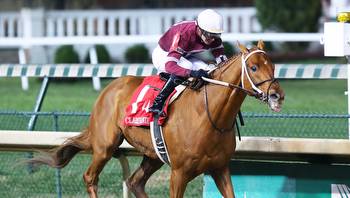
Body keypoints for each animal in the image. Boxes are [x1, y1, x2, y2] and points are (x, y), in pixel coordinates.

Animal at [28, 40, 284, 198]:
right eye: (253, 67)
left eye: (272, 65)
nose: (277, 95)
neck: (210, 117)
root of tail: (109, 88)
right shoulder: (179, 173)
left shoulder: (220, 168)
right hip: (104, 146)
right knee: (90, 177)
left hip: (153, 155)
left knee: (135, 182)